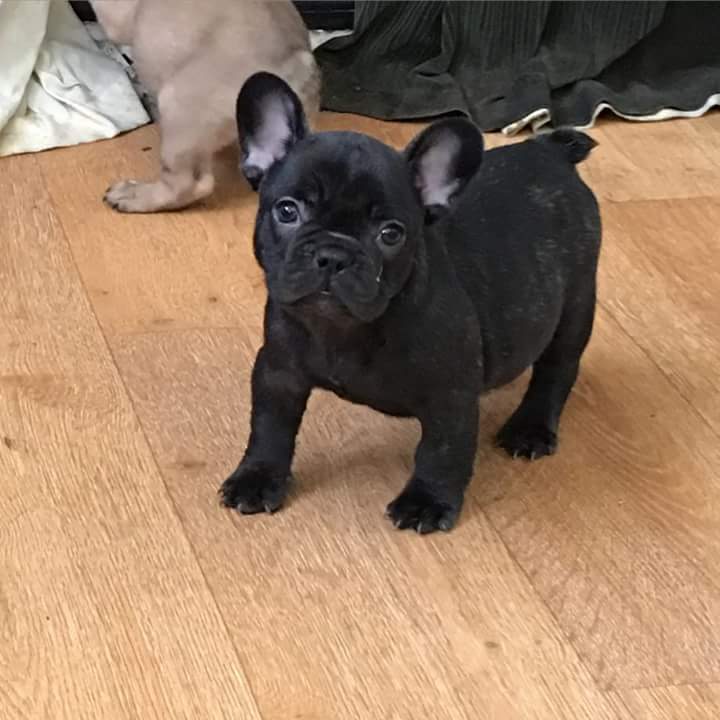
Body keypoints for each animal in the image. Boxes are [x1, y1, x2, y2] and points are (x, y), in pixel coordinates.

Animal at [224, 71, 600, 536]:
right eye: (288, 211)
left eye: (390, 234)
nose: (334, 254)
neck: (346, 329)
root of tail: (550, 151)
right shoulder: (278, 372)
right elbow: (269, 428)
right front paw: (257, 478)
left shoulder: (450, 396)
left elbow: (442, 452)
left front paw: (426, 502)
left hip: (575, 304)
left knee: (556, 369)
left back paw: (530, 428)